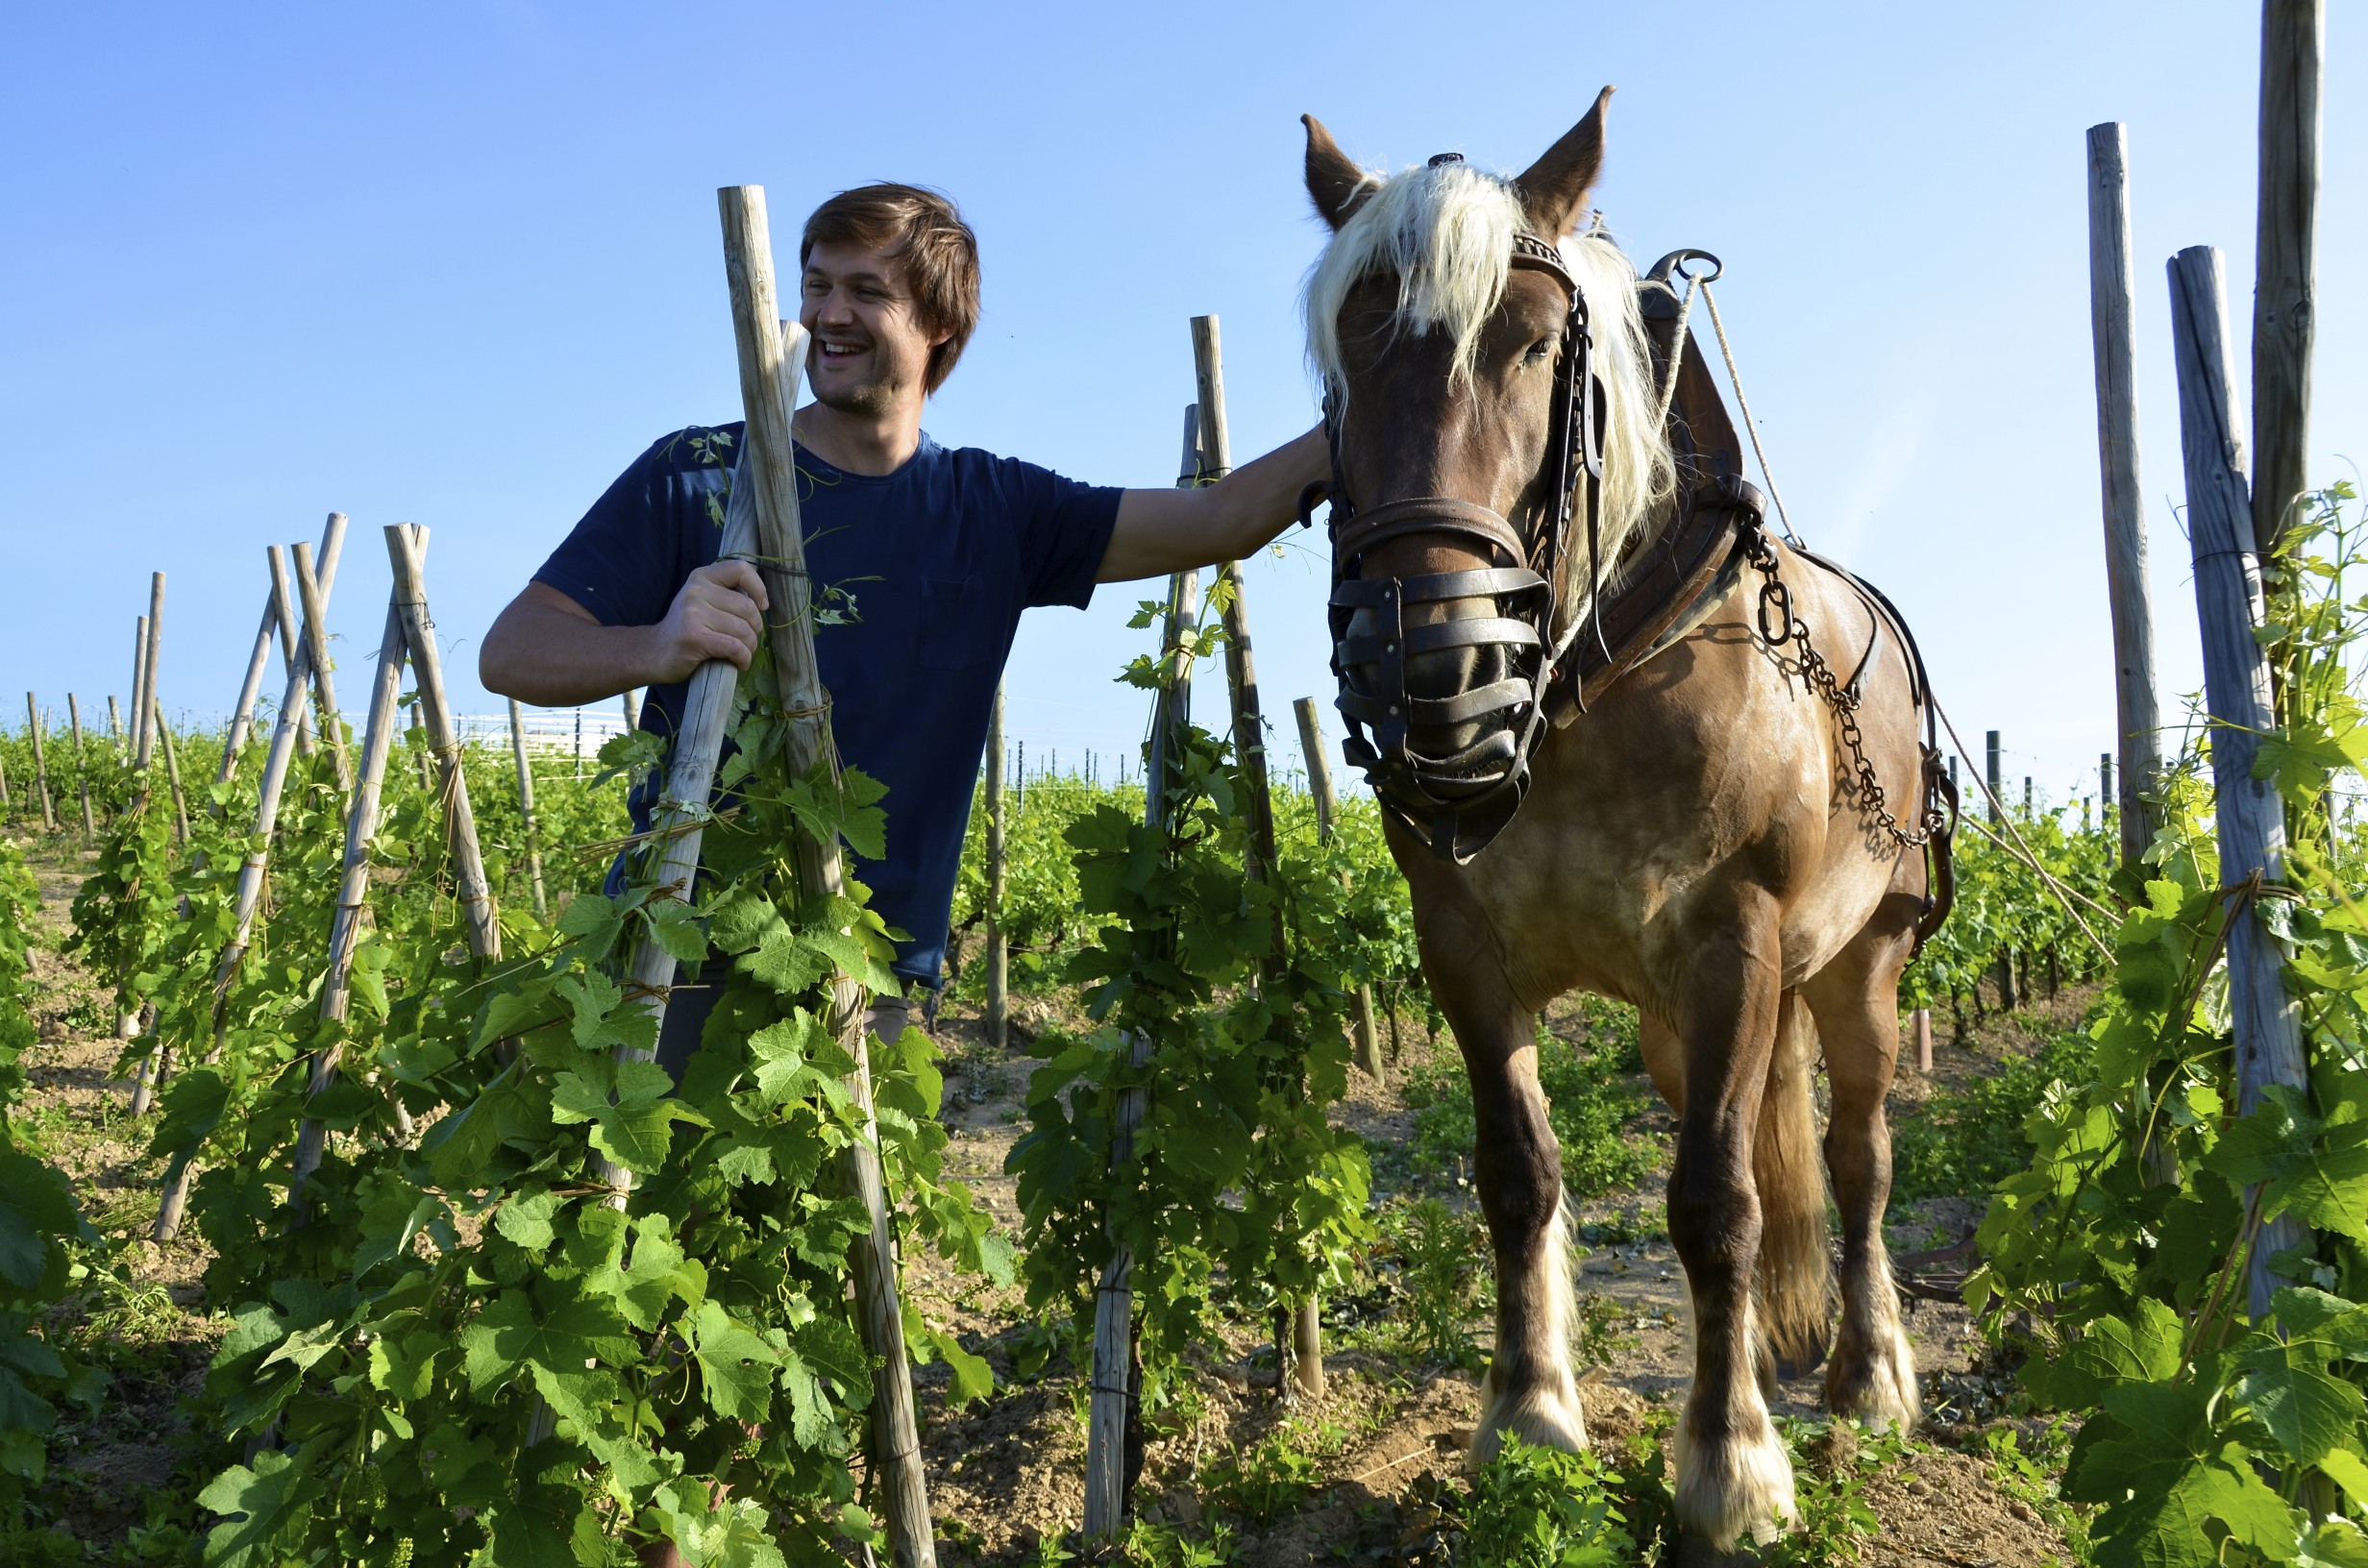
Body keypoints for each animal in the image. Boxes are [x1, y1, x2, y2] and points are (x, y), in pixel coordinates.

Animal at [1307, 92, 1951, 1554]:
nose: (1427, 667)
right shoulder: (1463, 949)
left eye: (1535, 345)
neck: (1584, 687)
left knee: (1858, 1154)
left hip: (1861, 964)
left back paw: (1868, 1374)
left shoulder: (1735, 943)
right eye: (1342, 354)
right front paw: (1531, 1419)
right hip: (1676, 1021)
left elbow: (1715, 1201)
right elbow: (1520, 1175)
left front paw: (1732, 1471)